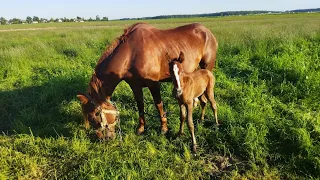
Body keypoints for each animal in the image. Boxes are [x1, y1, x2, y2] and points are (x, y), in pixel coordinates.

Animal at [76, 21, 219, 139]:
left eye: (94, 115)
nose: (103, 138)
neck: (131, 52)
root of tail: (207, 31)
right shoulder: (135, 85)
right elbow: (140, 105)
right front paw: (141, 128)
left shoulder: (153, 84)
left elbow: (158, 104)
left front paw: (164, 128)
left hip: (206, 68)